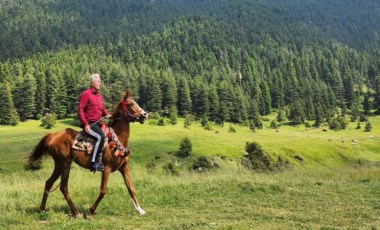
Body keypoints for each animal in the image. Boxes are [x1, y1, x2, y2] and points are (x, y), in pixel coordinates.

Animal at [26, 90, 148, 218]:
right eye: (130, 104)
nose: (145, 114)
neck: (116, 140)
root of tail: (53, 135)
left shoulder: (124, 168)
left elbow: (131, 188)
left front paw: (140, 210)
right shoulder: (107, 169)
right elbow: (103, 191)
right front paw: (90, 212)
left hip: (59, 165)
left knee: (49, 183)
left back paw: (42, 209)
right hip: (65, 165)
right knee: (63, 187)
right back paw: (76, 212)